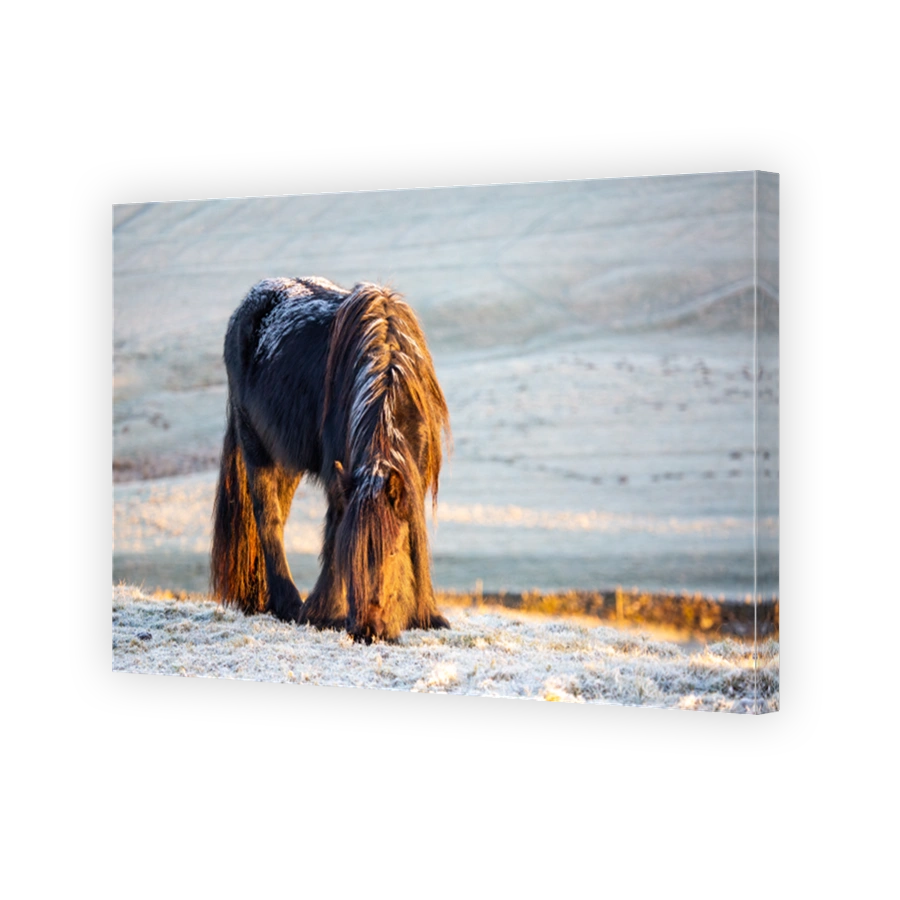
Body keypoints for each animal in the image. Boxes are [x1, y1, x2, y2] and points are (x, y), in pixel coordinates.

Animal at [210, 276, 451, 642]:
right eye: (352, 554)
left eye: (391, 551)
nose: (369, 631)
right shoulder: (339, 475)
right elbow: (333, 534)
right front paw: (324, 612)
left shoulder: (414, 476)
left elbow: (415, 533)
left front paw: (427, 616)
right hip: (256, 447)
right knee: (268, 518)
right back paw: (287, 604)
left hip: (285, 462)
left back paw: (263, 599)